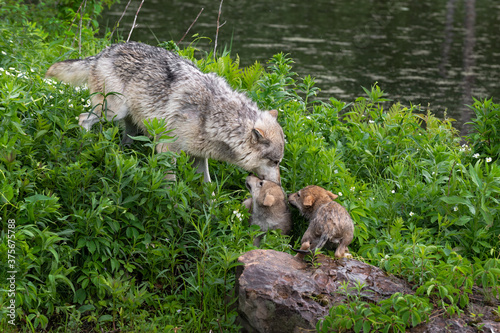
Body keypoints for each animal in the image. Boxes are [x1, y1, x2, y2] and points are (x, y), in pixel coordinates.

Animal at [47, 42, 286, 182]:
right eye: (275, 162)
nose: (279, 184)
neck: (213, 115)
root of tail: (101, 53)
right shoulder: (166, 148)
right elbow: (170, 183)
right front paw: (170, 204)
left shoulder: (199, 157)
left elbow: (208, 186)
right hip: (113, 111)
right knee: (82, 119)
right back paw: (87, 145)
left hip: (130, 122)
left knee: (124, 140)